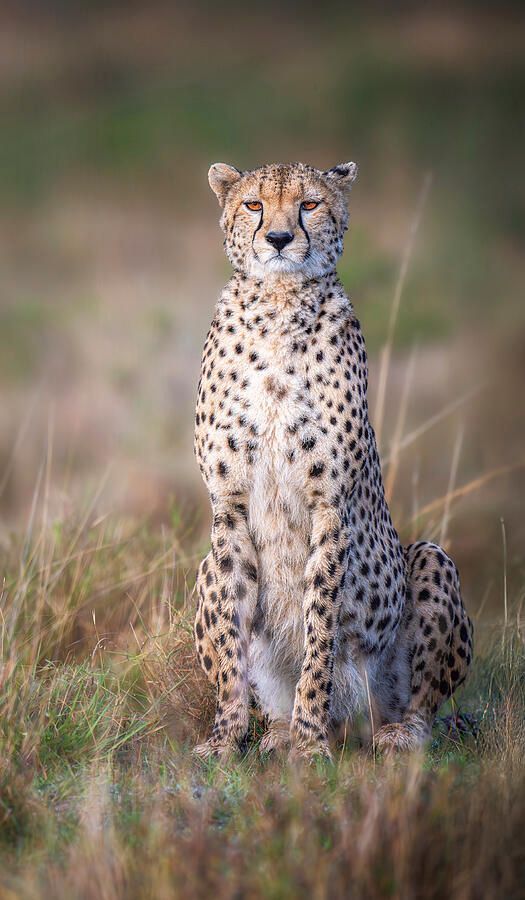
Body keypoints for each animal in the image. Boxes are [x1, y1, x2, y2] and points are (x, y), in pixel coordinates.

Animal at [193, 160, 473, 761]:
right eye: (254, 204)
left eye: (310, 204)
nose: (279, 238)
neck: (277, 306)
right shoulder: (227, 505)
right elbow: (230, 643)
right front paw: (226, 738)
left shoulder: (330, 506)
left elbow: (318, 630)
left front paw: (310, 743)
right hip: (202, 566)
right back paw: (274, 731)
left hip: (430, 561)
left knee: (424, 705)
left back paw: (395, 733)